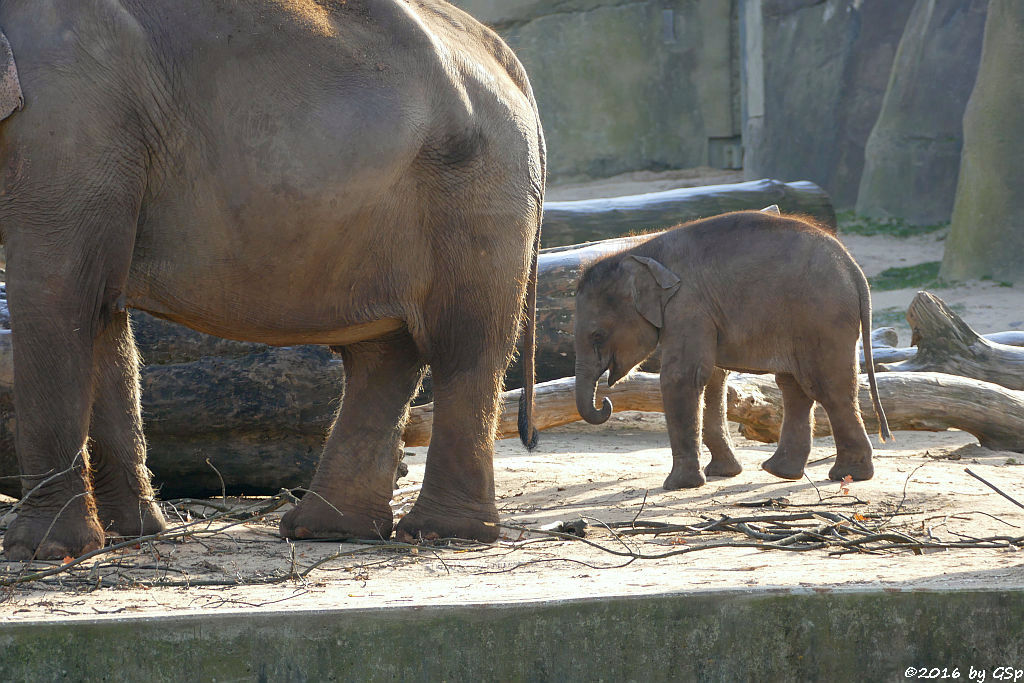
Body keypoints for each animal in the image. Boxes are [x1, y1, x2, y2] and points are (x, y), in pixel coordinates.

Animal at [0, 0, 544, 561]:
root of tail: (503, 57)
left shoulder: (69, 119)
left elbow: (58, 297)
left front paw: (41, 551)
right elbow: (103, 312)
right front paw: (133, 533)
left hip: (477, 197)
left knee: (462, 347)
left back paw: (438, 533)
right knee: (384, 353)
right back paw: (326, 529)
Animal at [577, 210, 888, 489]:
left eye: (597, 336)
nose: (605, 402)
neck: (640, 252)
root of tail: (855, 270)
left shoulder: (688, 306)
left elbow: (683, 377)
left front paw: (678, 485)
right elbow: (713, 380)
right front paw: (722, 473)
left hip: (822, 317)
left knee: (827, 387)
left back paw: (848, 474)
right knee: (795, 386)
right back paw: (782, 471)